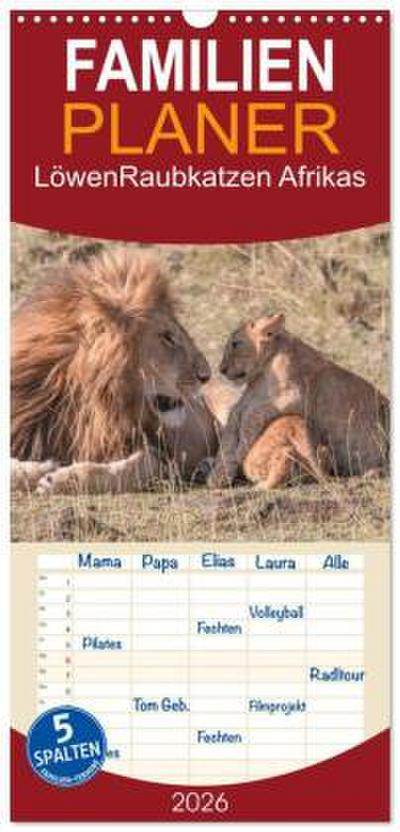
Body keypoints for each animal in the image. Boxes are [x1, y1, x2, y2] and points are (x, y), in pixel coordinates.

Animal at [208, 313, 389, 488]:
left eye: (235, 344)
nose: (221, 369)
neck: (265, 369)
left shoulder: (296, 396)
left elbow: (252, 416)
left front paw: (239, 455)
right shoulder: (242, 405)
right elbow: (230, 433)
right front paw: (218, 476)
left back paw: (371, 473)